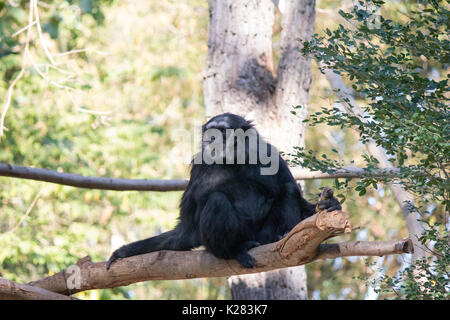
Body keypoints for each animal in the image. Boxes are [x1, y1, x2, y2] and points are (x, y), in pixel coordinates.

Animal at [107, 114, 342, 268]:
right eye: (210, 131)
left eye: (222, 131)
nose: (210, 138)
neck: (233, 160)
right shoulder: (199, 165)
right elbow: (186, 230)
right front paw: (123, 253)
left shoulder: (269, 153)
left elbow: (294, 194)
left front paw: (331, 205)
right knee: (217, 200)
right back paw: (235, 250)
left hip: (262, 234)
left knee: (289, 189)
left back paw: (279, 236)